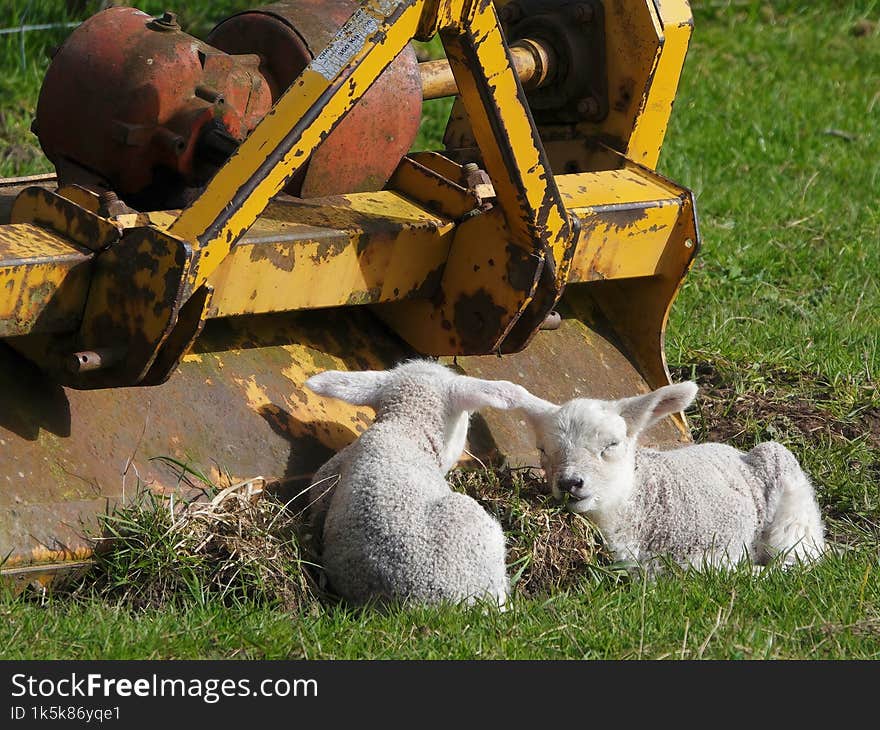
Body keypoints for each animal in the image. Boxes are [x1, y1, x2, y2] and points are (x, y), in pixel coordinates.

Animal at [512, 378, 828, 572]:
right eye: (542, 450)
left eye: (612, 444)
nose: (569, 483)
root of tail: (734, 450)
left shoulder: (709, 551)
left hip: (788, 496)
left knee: (800, 555)